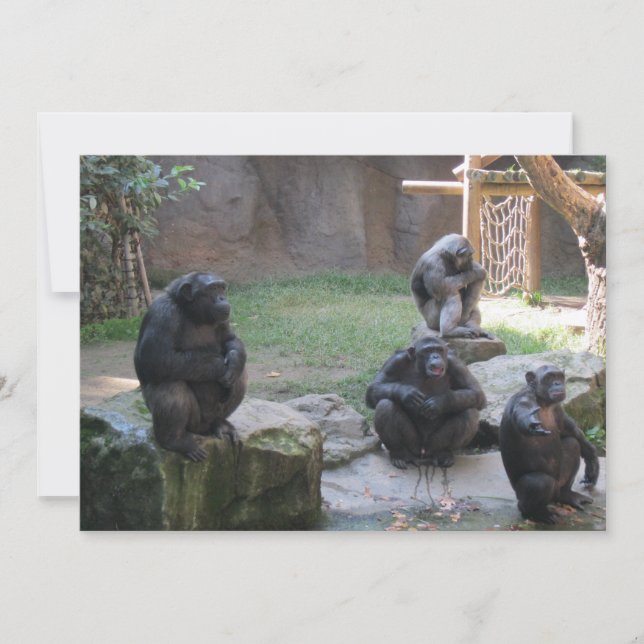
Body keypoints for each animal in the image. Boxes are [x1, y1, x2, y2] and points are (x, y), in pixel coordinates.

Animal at [134, 271, 247, 462]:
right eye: (212, 289)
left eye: (221, 287)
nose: (222, 297)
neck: (192, 314)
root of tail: (204, 429)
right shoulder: (163, 314)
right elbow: (157, 359)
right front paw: (219, 365)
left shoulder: (223, 319)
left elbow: (230, 339)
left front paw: (234, 361)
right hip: (193, 423)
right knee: (171, 383)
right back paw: (174, 440)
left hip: (209, 420)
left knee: (241, 375)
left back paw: (221, 424)